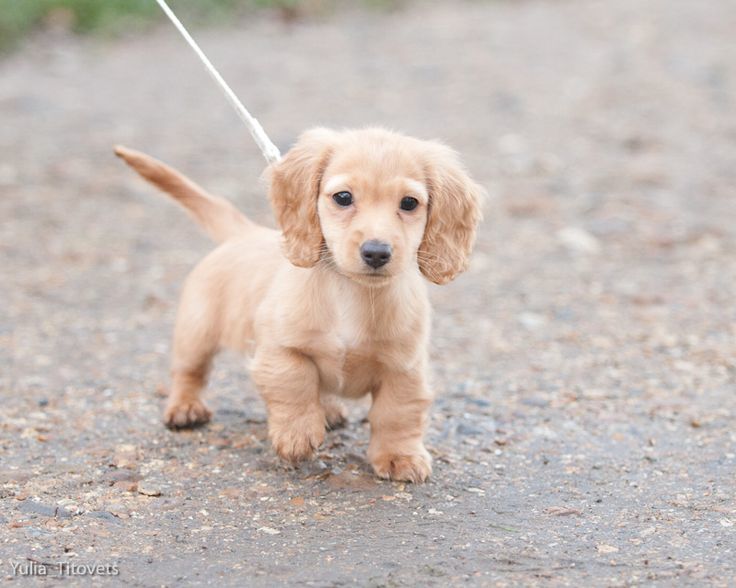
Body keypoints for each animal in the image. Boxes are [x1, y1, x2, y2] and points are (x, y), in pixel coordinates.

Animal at [115, 129, 484, 482]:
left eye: (409, 203)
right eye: (343, 197)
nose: (377, 252)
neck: (352, 294)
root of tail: (243, 232)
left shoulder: (405, 368)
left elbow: (398, 414)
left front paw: (400, 456)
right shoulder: (280, 348)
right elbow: (295, 381)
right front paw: (297, 434)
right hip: (197, 331)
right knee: (189, 372)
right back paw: (185, 408)